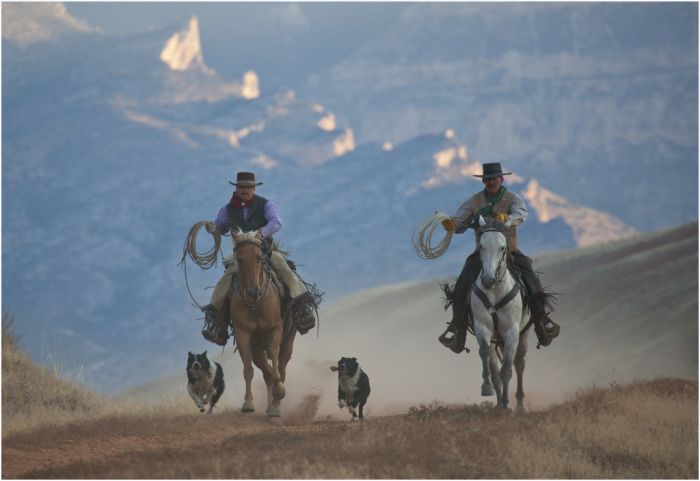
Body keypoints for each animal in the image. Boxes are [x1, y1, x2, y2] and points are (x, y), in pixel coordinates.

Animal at [230, 229, 296, 416]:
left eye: (259, 257)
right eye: (240, 259)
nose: (253, 292)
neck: (255, 305)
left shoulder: (275, 328)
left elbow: (274, 357)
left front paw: (280, 391)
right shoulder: (242, 334)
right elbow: (247, 368)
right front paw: (248, 403)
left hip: (288, 341)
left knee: (281, 367)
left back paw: (277, 401)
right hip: (257, 349)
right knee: (266, 373)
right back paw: (272, 407)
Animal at [470, 217, 532, 408]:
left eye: (502, 248)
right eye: (481, 246)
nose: (488, 279)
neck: (495, 291)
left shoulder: (512, 331)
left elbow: (507, 369)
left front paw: (506, 403)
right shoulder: (482, 327)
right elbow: (485, 356)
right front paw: (487, 388)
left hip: (523, 333)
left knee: (519, 364)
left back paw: (519, 405)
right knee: (496, 364)